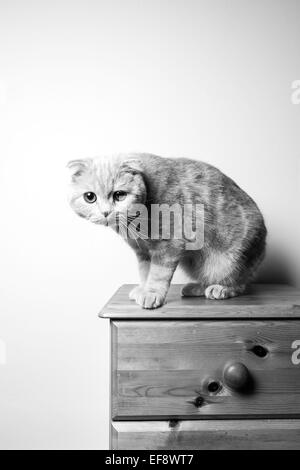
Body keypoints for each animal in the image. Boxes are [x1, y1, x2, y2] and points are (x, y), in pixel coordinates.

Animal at [67, 152, 266, 310]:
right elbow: (145, 272)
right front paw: (143, 288)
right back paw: (196, 288)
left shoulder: (169, 244)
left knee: (239, 283)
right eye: (90, 197)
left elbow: (158, 274)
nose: (106, 212)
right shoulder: (143, 251)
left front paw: (151, 293)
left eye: (119, 195)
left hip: (231, 260)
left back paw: (221, 289)